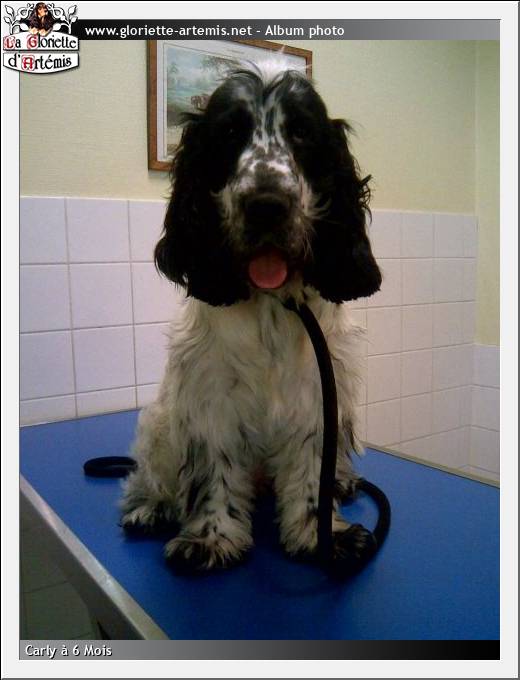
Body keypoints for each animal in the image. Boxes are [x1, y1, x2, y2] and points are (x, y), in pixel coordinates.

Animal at [120, 62, 382, 571]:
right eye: (228, 133)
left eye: (301, 132)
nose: (266, 205)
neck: (271, 304)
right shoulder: (210, 399)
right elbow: (212, 472)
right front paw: (211, 538)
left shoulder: (317, 394)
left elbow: (312, 475)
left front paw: (320, 535)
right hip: (158, 422)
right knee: (147, 473)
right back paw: (149, 507)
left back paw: (343, 481)